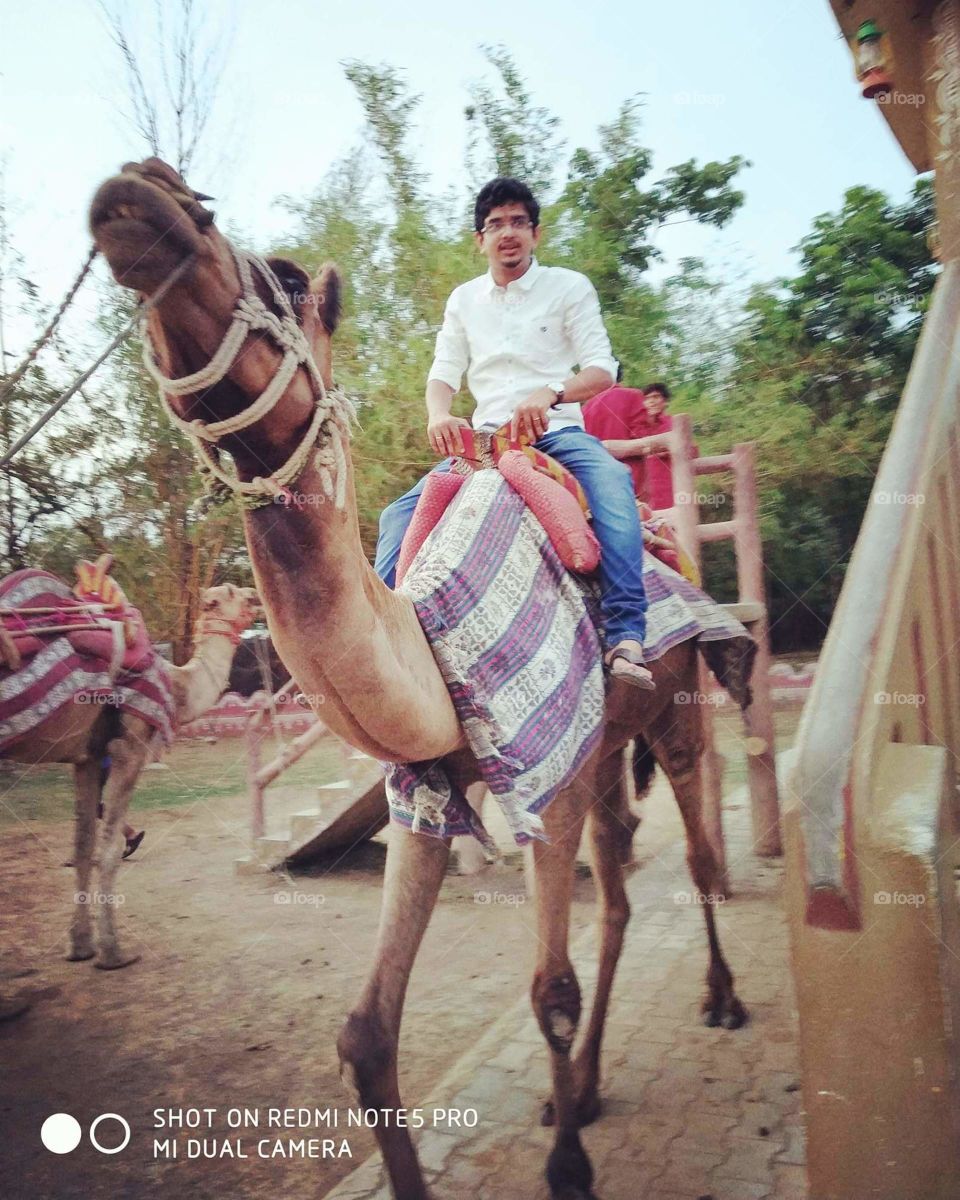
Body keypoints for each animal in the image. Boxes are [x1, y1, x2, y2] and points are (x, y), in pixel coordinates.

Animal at [0, 580, 259, 1019]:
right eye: (230, 592)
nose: (256, 596)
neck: (175, 683)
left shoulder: (86, 757)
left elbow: (82, 846)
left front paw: (79, 946)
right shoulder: (129, 748)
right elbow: (106, 852)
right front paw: (113, 953)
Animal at [88, 157, 752, 1200]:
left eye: (286, 277)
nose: (141, 191)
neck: (434, 648)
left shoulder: (542, 779)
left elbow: (549, 990)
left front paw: (568, 1165)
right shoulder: (429, 784)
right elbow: (366, 1034)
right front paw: (561, 1116)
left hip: (676, 708)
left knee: (695, 855)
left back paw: (721, 1002)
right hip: (602, 750)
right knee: (620, 885)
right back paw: (588, 1087)